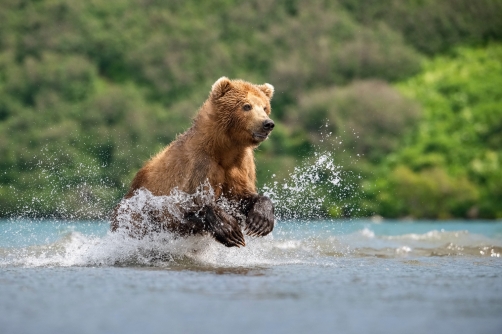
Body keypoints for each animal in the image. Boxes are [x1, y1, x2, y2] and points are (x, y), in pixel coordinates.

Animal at [110, 77, 276, 247]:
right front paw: (229, 229)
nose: (267, 124)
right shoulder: (198, 165)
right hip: (133, 212)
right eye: (247, 106)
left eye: (265, 107)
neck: (223, 149)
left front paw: (260, 220)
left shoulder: (240, 165)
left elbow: (242, 197)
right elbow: (185, 206)